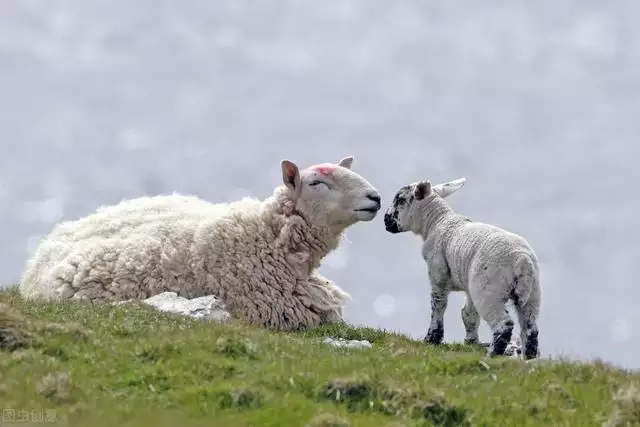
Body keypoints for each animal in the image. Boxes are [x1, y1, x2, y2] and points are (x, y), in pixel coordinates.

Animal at [382, 179, 544, 360]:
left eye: (401, 200)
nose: (386, 221)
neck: (436, 221)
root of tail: (522, 260)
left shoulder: (438, 272)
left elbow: (438, 304)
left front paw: (432, 338)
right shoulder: (469, 287)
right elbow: (468, 314)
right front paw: (471, 343)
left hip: (489, 291)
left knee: (503, 324)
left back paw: (492, 355)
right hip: (532, 293)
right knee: (530, 327)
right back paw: (528, 357)